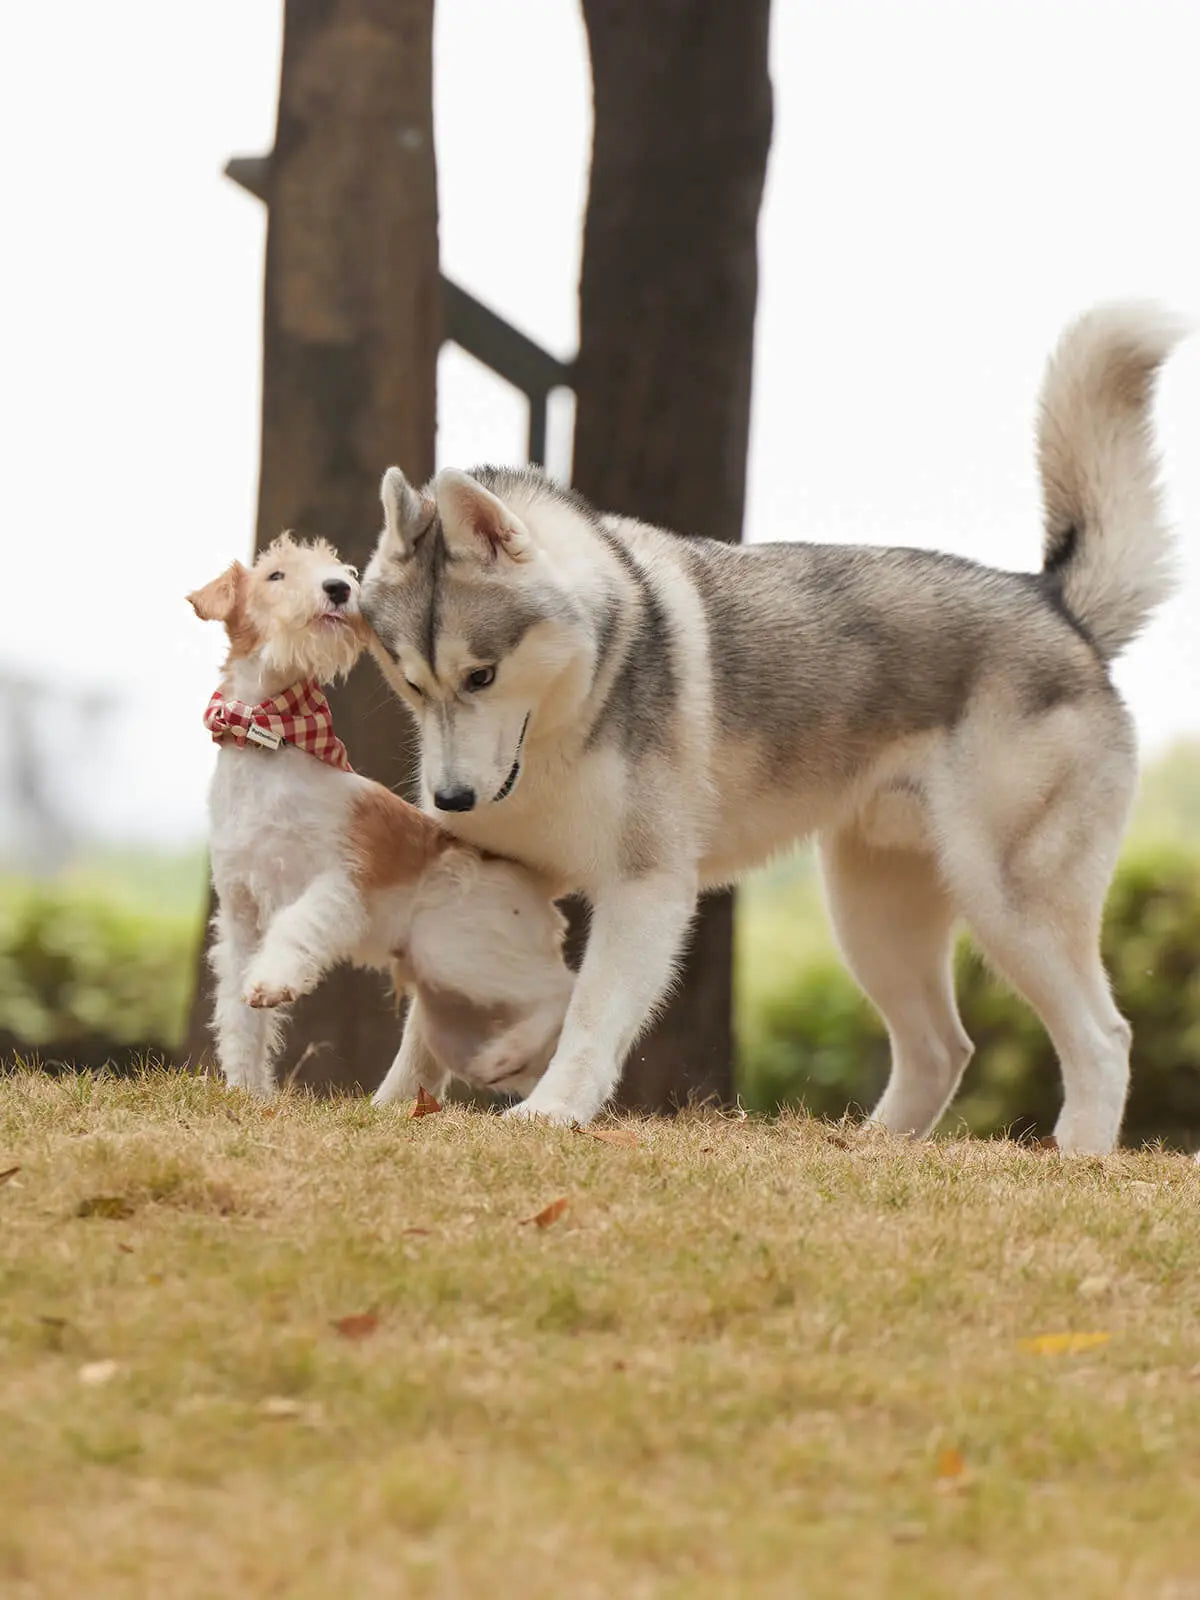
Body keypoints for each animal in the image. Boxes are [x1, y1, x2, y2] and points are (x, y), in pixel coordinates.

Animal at [190, 537, 576, 1100]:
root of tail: (533, 876)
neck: (268, 744)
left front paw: (274, 983)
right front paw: (246, 1090)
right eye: (275, 575)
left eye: (343, 571)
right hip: (449, 996)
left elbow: (296, 928)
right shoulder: (242, 915)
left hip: (457, 951)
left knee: (561, 989)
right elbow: (241, 1018)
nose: (338, 588)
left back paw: (504, 1058)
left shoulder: (336, 882)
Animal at [361, 302, 1190, 1152]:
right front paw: (393, 1106)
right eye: (411, 681)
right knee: (941, 1047)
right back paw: (875, 1147)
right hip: (873, 915)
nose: (452, 799)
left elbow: (590, 1014)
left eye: (482, 675)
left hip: (1008, 901)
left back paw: (1077, 1157)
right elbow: (430, 1015)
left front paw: (553, 1110)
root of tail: (1056, 607)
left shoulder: (645, 888)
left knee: (1101, 1039)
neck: (574, 711)